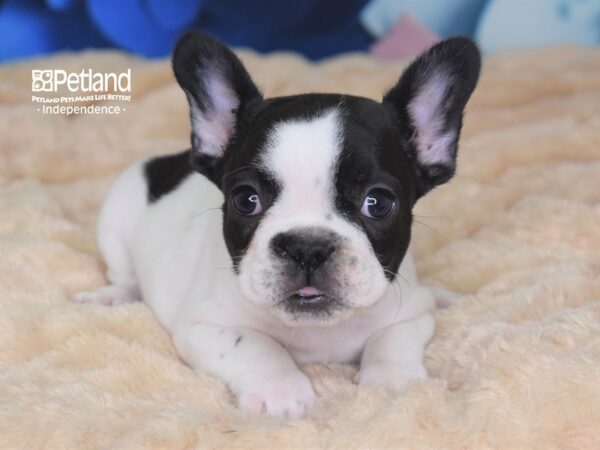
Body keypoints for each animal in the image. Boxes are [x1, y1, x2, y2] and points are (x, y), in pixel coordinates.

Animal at [75, 33, 480, 420]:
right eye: (246, 200)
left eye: (378, 203)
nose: (307, 247)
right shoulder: (204, 325)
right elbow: (256, 346)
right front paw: (280, 392)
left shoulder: (412, 313)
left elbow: (392, 340)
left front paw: (391, 382)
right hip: (116, 218)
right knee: (123, 275)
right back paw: (109, 296)